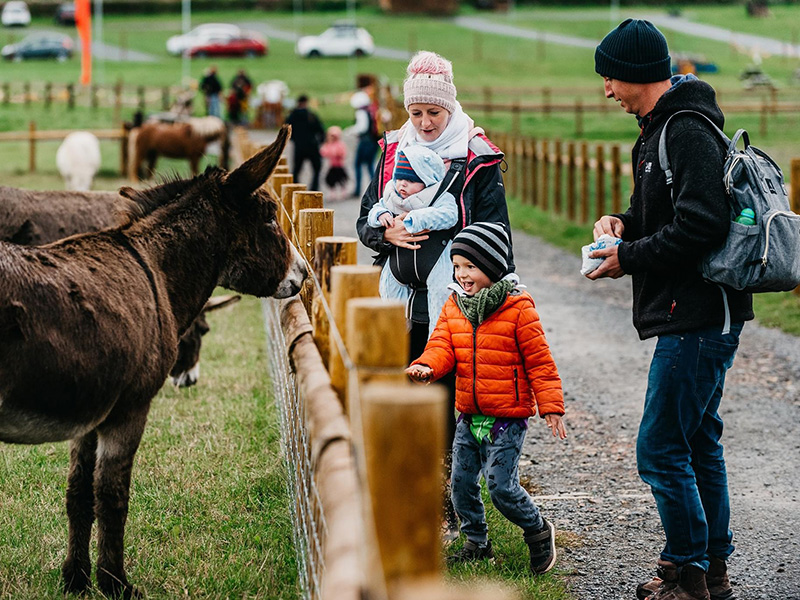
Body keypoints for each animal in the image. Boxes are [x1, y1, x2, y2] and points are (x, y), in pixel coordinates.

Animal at [0, 124, 304, 596]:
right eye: (270, 217)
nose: (304, 274)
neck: (154, 269)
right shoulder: (130, 408)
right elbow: (112, 496)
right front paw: (115, 584)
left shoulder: (93, 412)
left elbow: (77, 492)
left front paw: (75, 579)